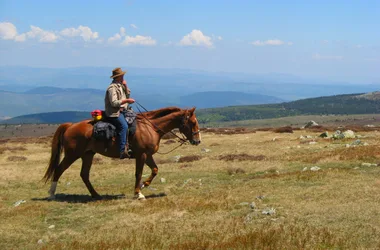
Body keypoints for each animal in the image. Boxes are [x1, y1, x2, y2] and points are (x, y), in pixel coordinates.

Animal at [42, 106, 202, 200]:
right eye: (193, 122)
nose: (197, 141)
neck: (151, 127)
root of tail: (70, 125)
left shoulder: (148, 155)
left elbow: (155, 170)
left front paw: (143, 186)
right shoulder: (141, 155)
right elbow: (138, 173)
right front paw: (138, 193)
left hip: (88, 154)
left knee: (84, 174)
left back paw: (96, 195)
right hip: (72, 154)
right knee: (59, 169)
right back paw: (51, 194)